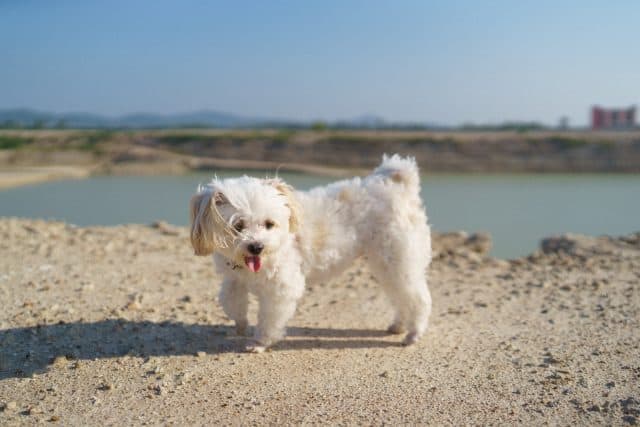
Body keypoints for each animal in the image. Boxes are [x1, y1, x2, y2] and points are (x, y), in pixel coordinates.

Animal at [189, 155, 430, 352]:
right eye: (238, 226)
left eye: (269, 224)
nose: (257, 247)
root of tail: (399, 184)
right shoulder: (234, 278)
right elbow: (230, 300)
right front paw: (241, 325)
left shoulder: (281, 288)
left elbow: (269, 318)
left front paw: (260, 342)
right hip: (387, 264)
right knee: (400, 296)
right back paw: (398, 325)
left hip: (399, 259)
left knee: (418, 297)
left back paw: (413, 333)